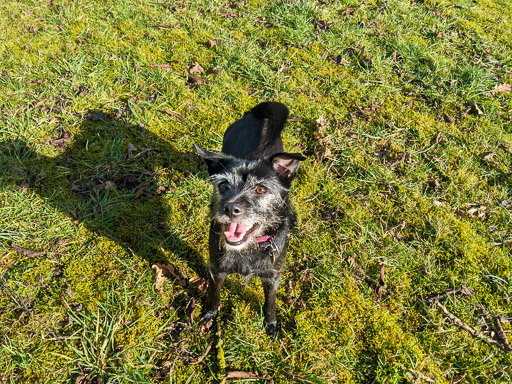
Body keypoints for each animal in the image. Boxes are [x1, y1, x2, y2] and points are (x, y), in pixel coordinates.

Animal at [193, 100, 304, 334]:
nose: (230, 209)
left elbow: (270, 302)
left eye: (261, 189)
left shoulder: (272, 276)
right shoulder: (217, 270)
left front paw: (271, 324)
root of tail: (258, 115)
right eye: (223, 185)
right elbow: (214, 294)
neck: (248, 248)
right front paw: (210, 314)